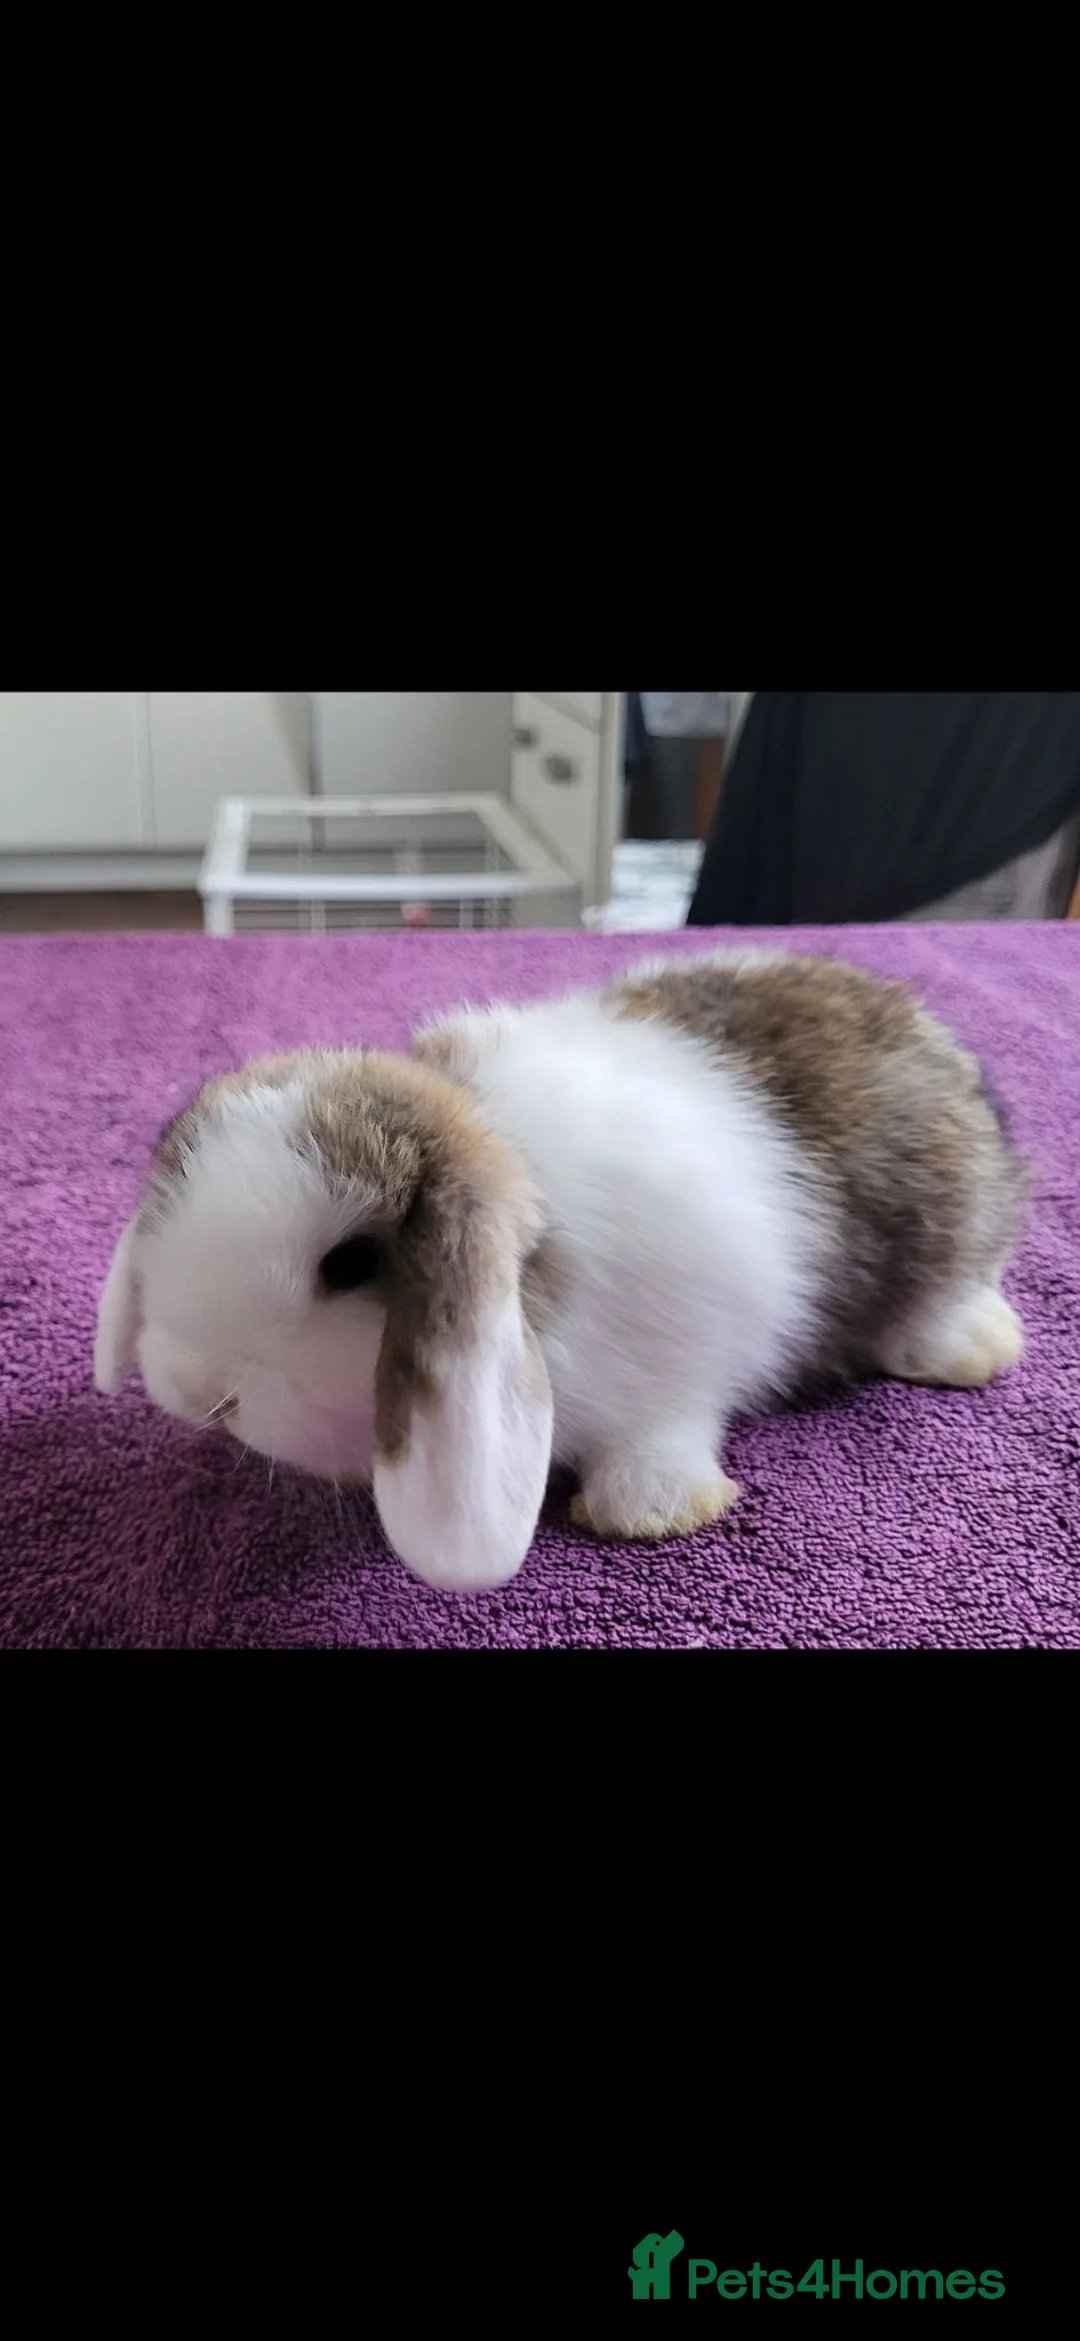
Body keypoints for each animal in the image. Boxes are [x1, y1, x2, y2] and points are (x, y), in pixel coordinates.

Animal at [94, 949, 1030, 1593]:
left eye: (351, 1262)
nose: (197, 1388)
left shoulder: (686, 1361)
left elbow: (668, 1431)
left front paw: (647, 1513)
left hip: (951, 1237)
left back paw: (966, 1350)